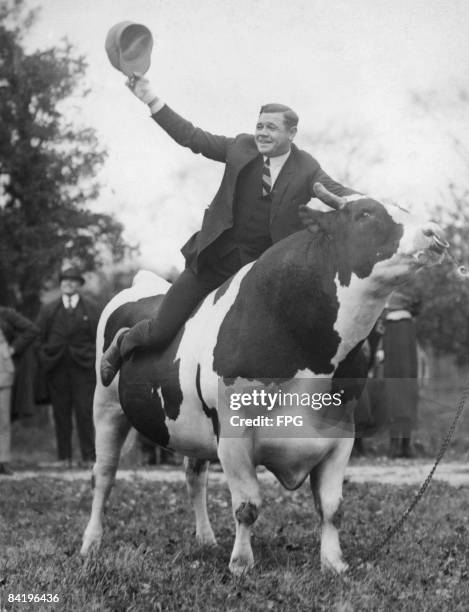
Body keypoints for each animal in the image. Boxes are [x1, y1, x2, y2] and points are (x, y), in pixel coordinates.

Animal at [80, 184, 446, 576]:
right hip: (106, 408)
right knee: (103, 474)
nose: (435, 233)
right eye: (364, 213)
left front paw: (334, 563)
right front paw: (242, 564)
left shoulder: (341, 435)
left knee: (194, 474)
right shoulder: (234, 433)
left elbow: (332, 507)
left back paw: (206, 539)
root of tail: (143, 284)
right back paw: (91, 543)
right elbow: (247, 505)